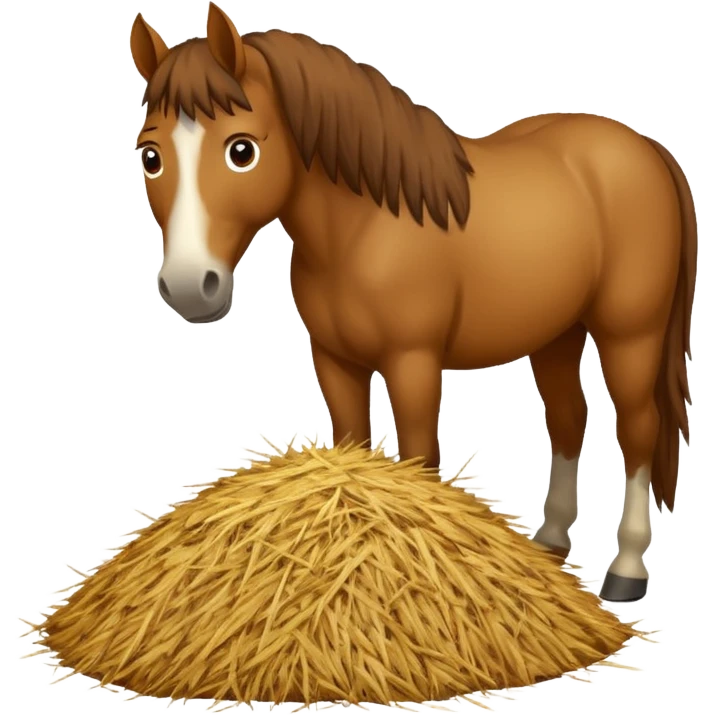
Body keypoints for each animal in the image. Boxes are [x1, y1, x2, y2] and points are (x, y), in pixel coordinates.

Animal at [130, 2, 696, 603]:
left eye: (242, 149)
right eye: (151, 156)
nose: (189, 286)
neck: (365, 227)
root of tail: (648, 150)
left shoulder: (414, 363)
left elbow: (420, 458)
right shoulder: (336, 363)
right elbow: (351, 449)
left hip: (629, 334)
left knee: (639, 429)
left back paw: (626, 569)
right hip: (556, 335)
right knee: (570, 418)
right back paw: (549, 543)